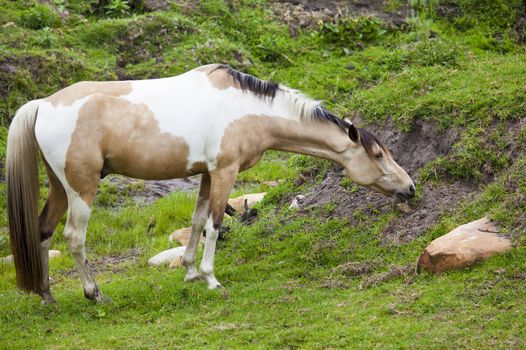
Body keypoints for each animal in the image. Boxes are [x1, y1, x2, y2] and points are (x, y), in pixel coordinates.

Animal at [5, 63, 416, 304]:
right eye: (378, 156)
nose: (410, 187)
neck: (246, 109)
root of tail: (43, 104)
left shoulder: (205, 174)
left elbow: (198, 220)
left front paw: (188, 271)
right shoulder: (225, 171)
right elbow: (216, 224)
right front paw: (211, 278)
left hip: (60, 188)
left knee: (43, 231)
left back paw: (47, 295)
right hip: (81, 189)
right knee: (74, 238)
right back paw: (94, 294)